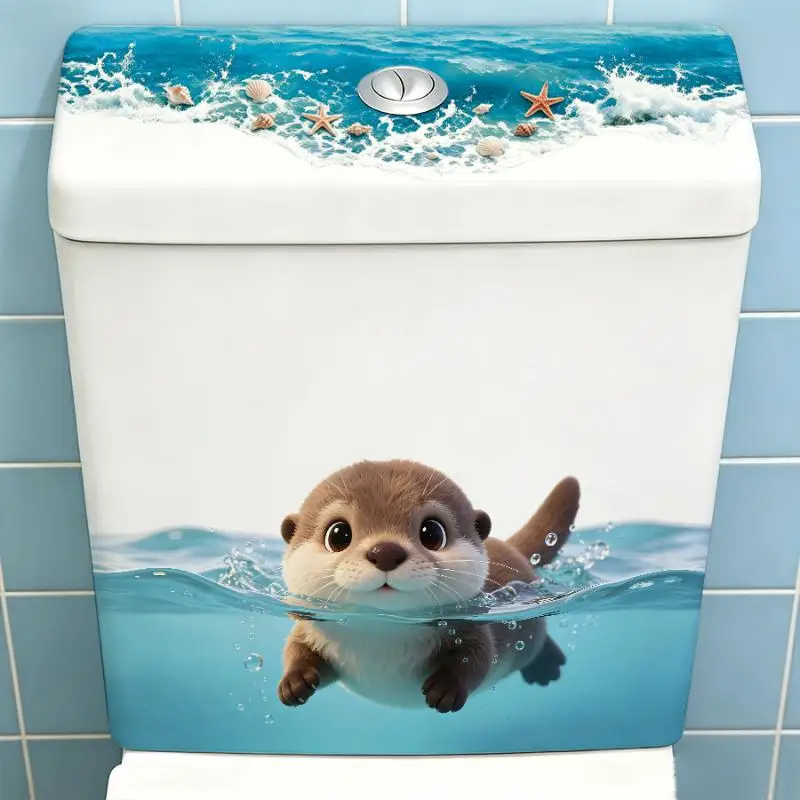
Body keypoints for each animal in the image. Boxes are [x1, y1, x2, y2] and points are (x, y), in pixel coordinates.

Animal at [278, 459, 580, 713]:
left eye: (432, 532)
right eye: (338, 534)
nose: (385, 551)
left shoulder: (471, 625)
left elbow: (478, 656)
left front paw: (446, 689)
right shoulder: (310, 627)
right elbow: (296, 649)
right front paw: (294, 681)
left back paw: (547, 668)